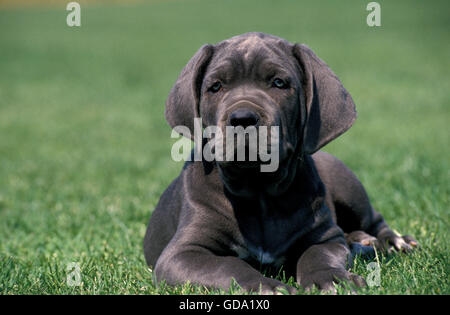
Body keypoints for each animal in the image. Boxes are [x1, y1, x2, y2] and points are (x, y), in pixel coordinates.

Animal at [142, 33, 416, 296]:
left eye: (278, 83)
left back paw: (393, 242)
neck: (259, 192)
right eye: (216, 86)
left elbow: (317, 255)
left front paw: (331, 279)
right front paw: (266, 285)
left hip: (347, 186)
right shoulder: (182, 253)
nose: (242, 118)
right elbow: (228, 266)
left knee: (374, 220)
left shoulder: (325, 238)